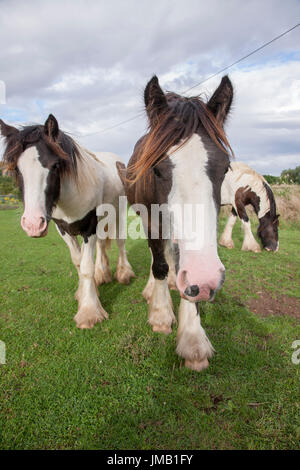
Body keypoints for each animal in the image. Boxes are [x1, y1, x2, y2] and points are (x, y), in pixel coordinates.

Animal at [0, 114, 134, 326]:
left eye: (55, 165)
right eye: (16, 169)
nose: (32, 224)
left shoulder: (89, 227)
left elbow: (86, 266)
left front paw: (89, 311)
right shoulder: (63, 229)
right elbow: (78, 262)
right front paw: (85, 293)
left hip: (119, 212)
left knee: (120, 242)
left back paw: (124, 274)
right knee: (101, 245)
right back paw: (102, 274)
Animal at [117, 75, 234, 372]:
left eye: (225, 168)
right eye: (156, 169)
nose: (206, 278)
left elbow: (181, 266)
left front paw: (192, 337)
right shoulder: (151, 221)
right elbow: (158, 263)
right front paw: (160, 314)